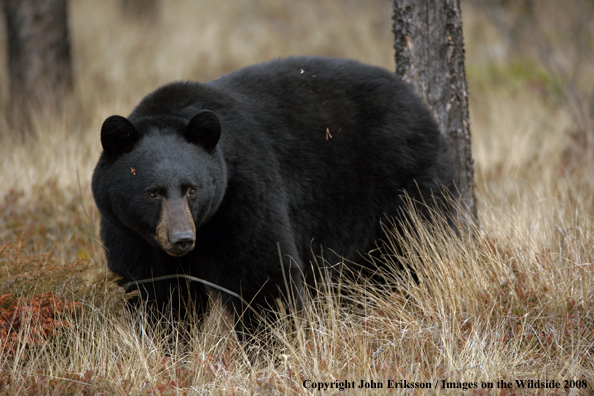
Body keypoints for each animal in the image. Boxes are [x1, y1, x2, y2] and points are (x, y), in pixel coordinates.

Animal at [91, 56, 454, 332]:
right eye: (153, 193)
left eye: (192, 189)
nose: (181, 239)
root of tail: (419, 105)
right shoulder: (129, 231)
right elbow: (155, 293)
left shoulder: (244, 194)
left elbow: (262, 276)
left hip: (401, 183)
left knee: (411, 249)